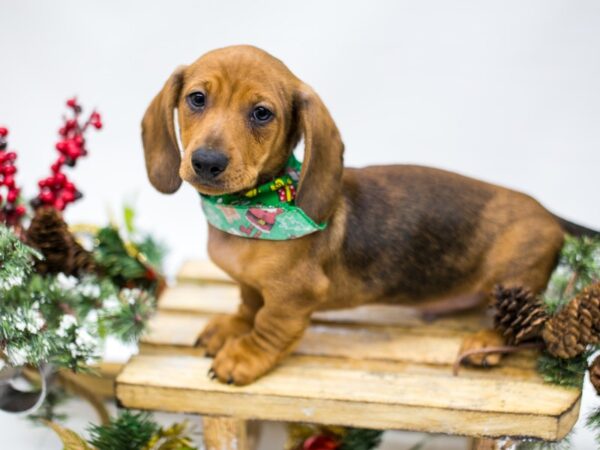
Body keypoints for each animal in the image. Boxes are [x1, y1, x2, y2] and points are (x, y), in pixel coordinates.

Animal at [143, 44, 596, 384]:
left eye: (261, 113)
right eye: (197, 99)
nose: (206, 162)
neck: (249, 212)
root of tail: (546, 211)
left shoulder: (294, 296)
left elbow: (269, 323)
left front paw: (245, 356)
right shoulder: (253, 283)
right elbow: (249, 302)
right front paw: (233, 328)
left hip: (515, 276)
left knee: (523, 324)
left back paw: (485, 342)